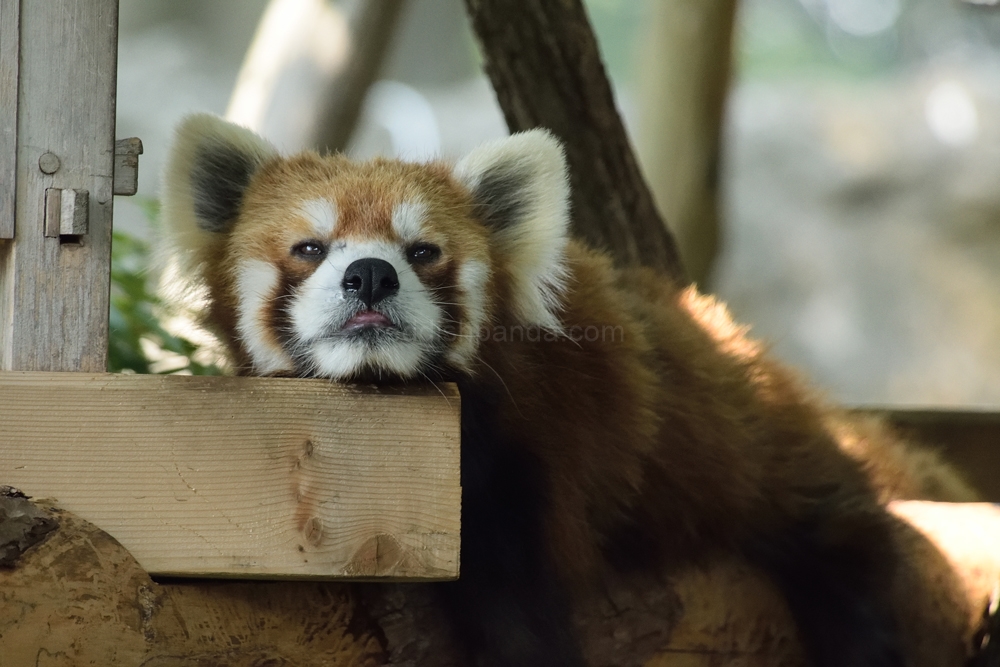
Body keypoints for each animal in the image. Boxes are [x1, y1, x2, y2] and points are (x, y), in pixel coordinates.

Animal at [160, 115, 972, 667]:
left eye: (422, 252)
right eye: (310, 248)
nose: (369, 275)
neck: (383, 398)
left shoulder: (531, 453)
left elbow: (520, 605)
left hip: (751, 446)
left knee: (835, 537)